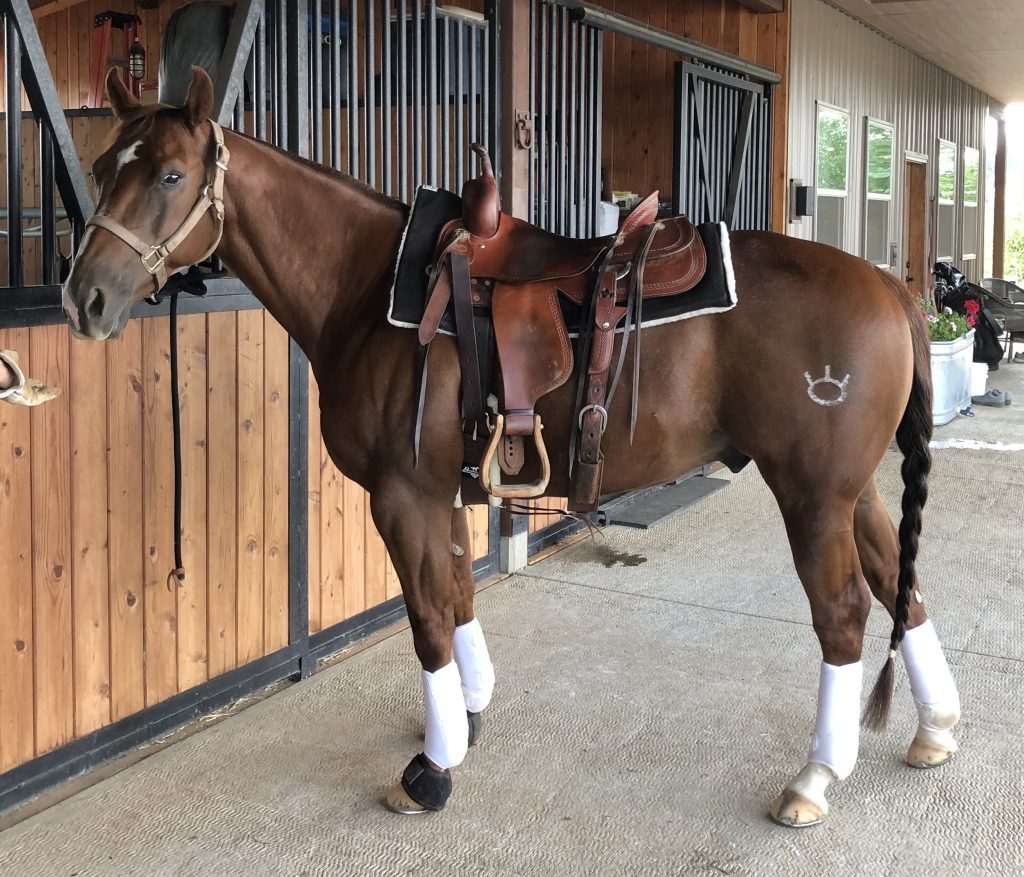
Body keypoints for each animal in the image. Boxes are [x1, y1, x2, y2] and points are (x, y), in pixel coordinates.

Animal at [62, 67, 961, 827]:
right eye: (103, 166)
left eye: (169, 176)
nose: (84, 298)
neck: (367, 287)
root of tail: (891, 289)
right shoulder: (441, 491)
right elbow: (459, 593)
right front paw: (467, 713)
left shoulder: (403, 495)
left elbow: (428, 617)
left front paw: (433, 769)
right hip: (854, 492)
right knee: (902, 584)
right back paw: (936, 728)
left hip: (812, 495)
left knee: (844, 614)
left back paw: (815, 777)